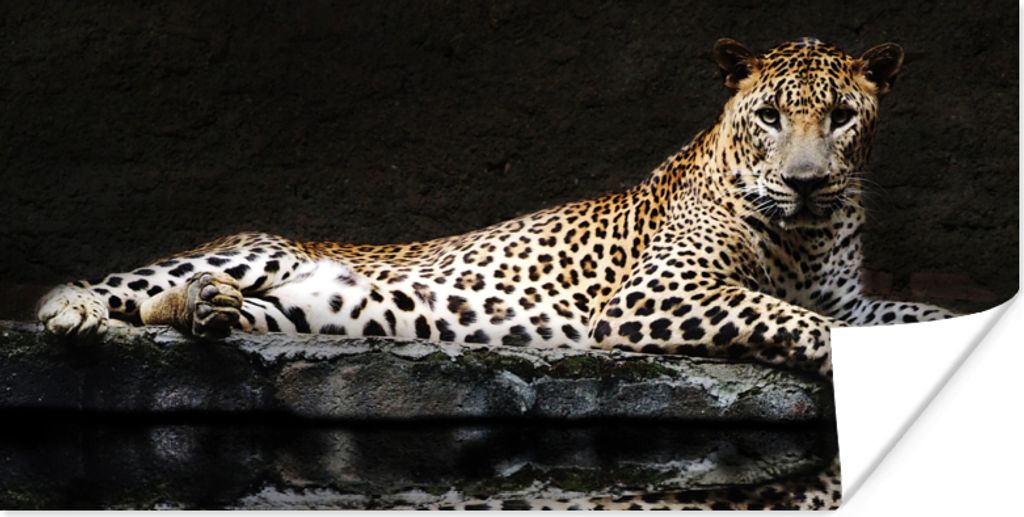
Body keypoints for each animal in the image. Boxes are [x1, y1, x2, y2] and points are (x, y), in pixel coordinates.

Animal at [35, 37, 956, 510]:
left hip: (300, 309)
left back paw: (208, 311)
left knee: (197, 307)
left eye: (841, 117)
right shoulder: (656, 295)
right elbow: (798, 319)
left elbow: (918, 313)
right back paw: (82, 308)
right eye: (769, 117)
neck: (807, 232)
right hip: (260, 248)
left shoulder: (853, 297)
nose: (805, 181)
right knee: (127, 287)